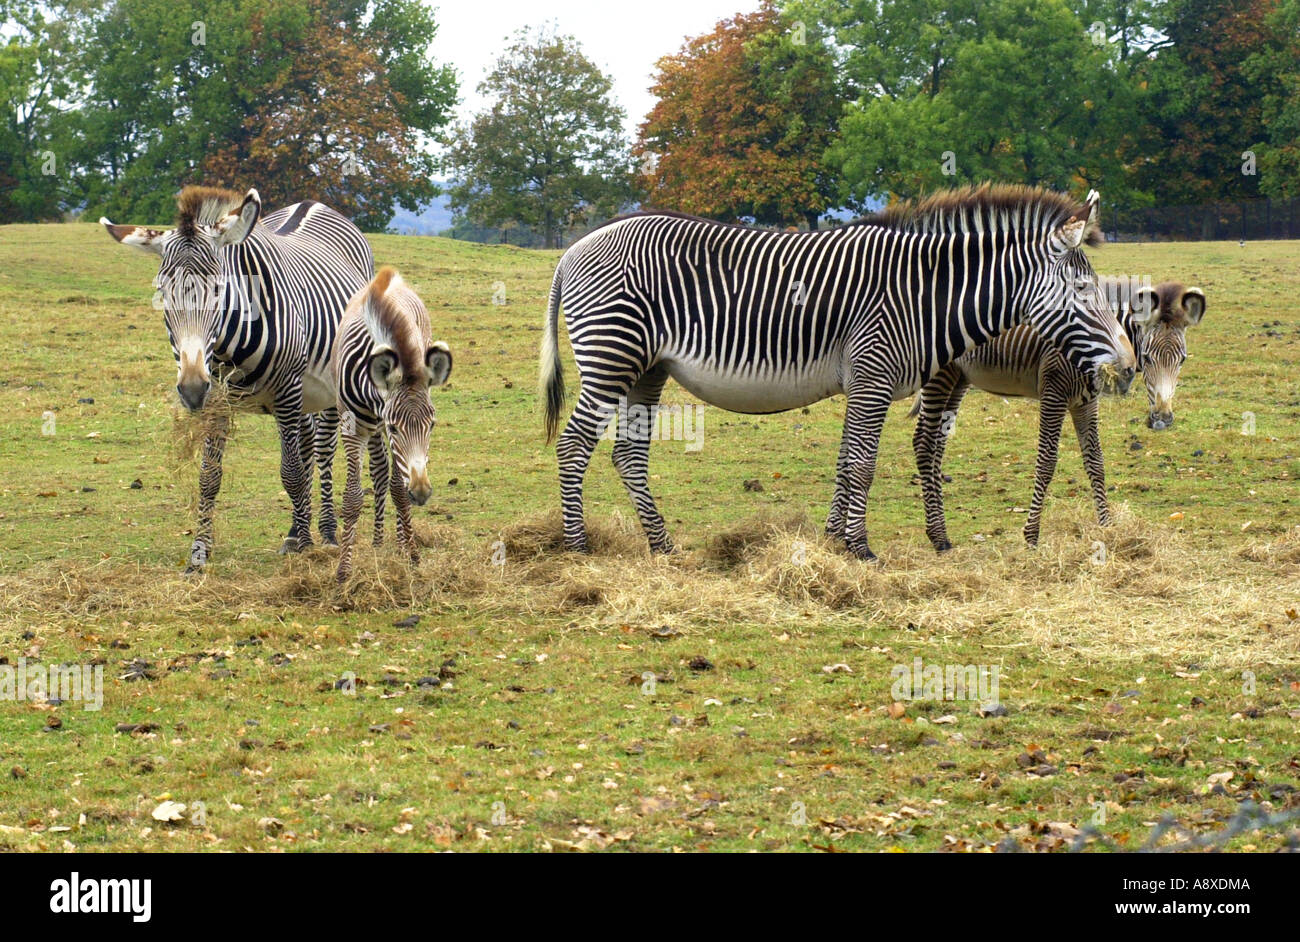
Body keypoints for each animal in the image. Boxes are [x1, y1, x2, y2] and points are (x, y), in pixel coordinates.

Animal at [101, 186, 374, 570]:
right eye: (163, 294)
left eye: (219, 289)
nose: (191, 389)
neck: (229, 347)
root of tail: (313, 204)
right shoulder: (217, 399)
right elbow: (209, 476)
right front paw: (199, 551)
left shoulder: (287, 390)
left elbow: (290, 471)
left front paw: (307, 545)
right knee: (306, 445)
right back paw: (297, 529)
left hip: (330, 385)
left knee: (321, 449)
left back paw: (328, 533)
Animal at [333, 266, 452, 583]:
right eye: (396, 427)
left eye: (432, 426)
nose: (421, 493)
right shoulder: (353, 428)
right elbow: (352, 497)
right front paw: (343, 571)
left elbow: (399, 490)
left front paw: (411, 553)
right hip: (371, 428)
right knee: (378, 471)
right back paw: (376, 541)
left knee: (390, 478)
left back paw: (398, 542)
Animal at [539, 184, 1136, 560]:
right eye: (1085, 290)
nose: (1128, 366)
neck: (923, 296)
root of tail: (573, 249)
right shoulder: (872, 375)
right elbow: (862, 467)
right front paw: (861, 549)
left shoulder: (865, 382)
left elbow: (848, 463)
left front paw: (836, 544)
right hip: (612, 357)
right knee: (573, 446)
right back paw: (578, 548)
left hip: (647, 368)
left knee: (627, 453)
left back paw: (662, 547)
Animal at [912, 279, 1206, 548]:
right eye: (1146, 357)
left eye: (1182, 360)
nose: (1162, 419)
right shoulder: (1054, 392)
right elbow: (1047, 461)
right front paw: (1031, 535)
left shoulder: (1086, 401)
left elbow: (1096, 462)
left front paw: (1107, 527)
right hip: (940, 375)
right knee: (924, 442)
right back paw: (939, 537)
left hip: (959, 378)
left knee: (937, 443)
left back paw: (938, 532)